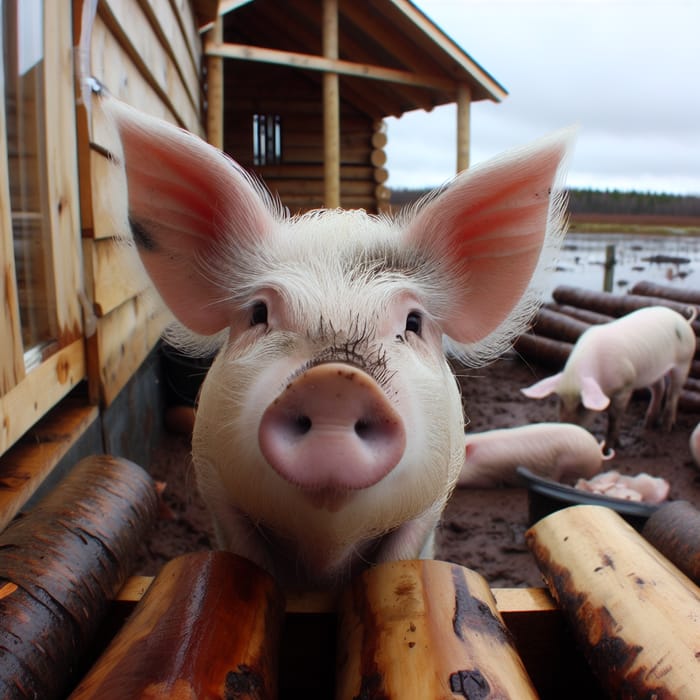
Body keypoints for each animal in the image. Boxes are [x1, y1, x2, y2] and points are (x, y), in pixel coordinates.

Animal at [94, 86, 576, 592]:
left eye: (413, 322)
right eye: (258, 313)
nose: (336, 382)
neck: (324, 549)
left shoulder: (434, 495)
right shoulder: (214, 483)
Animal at [524, 304, 696, 448]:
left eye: (582, 405)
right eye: (560, 400)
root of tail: (684, 320)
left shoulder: (626, 384)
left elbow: (614, 416)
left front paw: (611, 447)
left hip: (684, 361)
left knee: (674, 392)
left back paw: (666, 429)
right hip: (651, 370)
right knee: (659, 387)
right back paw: (647, 424)